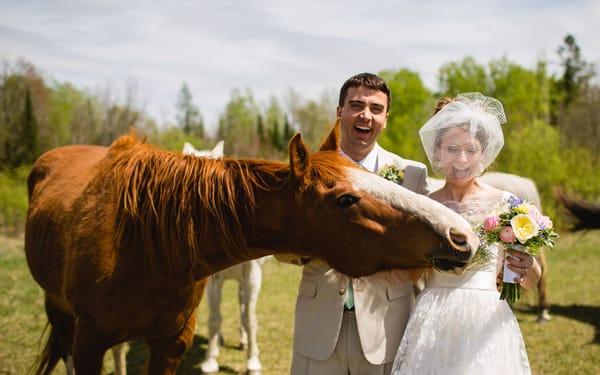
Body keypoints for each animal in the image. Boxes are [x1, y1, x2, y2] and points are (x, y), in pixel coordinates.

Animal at [24, 127, 478, 375]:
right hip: (57, 311)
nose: (462, 236)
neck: (142, 243)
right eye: (346, 199)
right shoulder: (88, 342)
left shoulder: (171, 343)